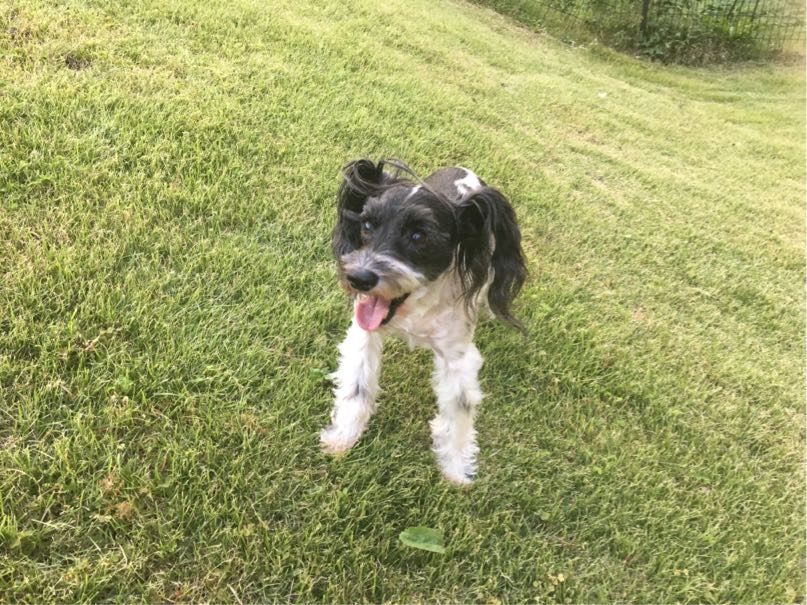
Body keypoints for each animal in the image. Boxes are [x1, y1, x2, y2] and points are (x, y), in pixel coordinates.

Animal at [320, 158, 526, 485]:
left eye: (419, 236)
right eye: (367, 225)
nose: (358, 278)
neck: (414, 307)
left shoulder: (458, 357)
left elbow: (460, 409)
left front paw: (456, 467)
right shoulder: (366, 333)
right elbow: (358, 384)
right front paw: (344, 435)